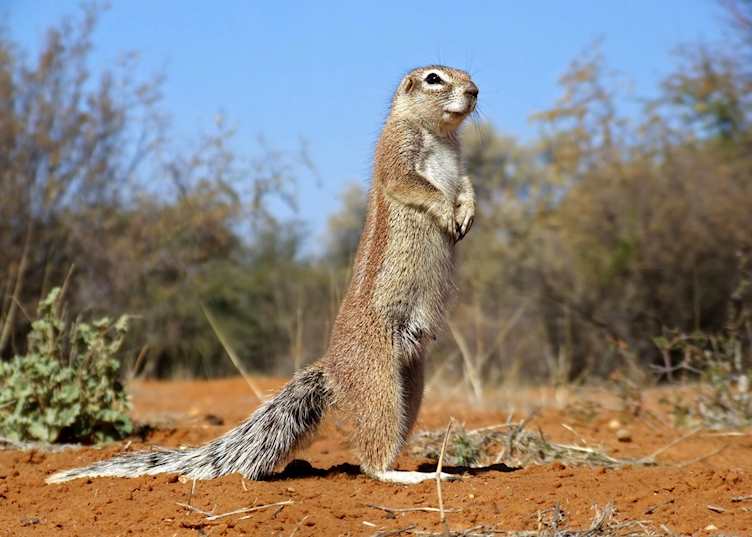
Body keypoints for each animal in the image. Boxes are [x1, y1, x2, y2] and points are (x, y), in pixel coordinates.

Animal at [47, 65, 478, 486]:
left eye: (466, 74)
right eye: (434, 78)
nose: (474, 91)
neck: (439, 136)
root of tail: (331, 368)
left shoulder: (458, 164)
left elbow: (466, 183)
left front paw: (467, 212)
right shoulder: (397, 153)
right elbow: (414, 184)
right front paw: (446, 210)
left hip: (413, 381)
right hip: (379, 381)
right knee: (372, 457)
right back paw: (411, 474)